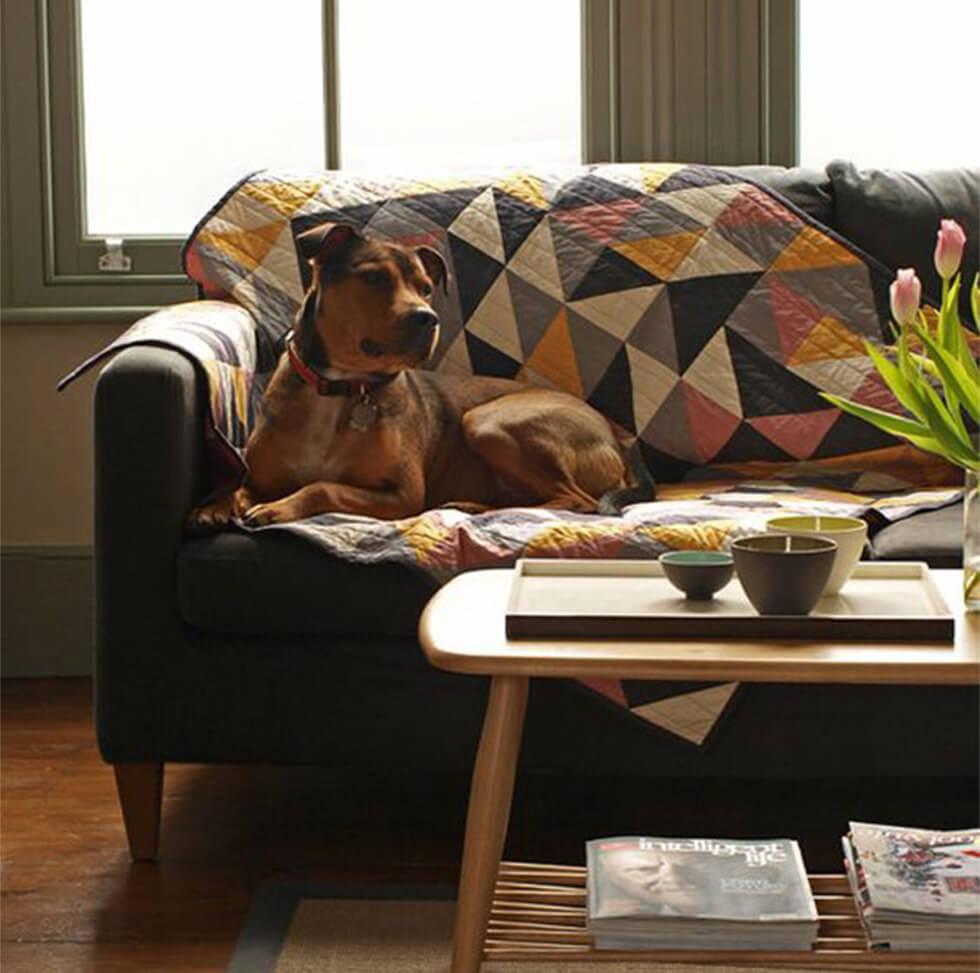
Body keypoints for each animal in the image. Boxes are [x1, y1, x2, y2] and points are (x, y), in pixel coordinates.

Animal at [191, 223, 652, 528]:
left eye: (426, 287)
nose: (426, 318)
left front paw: (277, 507)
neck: (343, 387)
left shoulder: (402, 493)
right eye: (373, 277)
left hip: (488, 421)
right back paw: (472, 506)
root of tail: (618, 439)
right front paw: (217, 504)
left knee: (576, 500)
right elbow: (240, 483)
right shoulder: (260, 473)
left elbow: (323, 487)